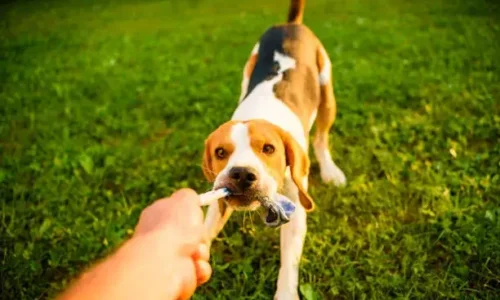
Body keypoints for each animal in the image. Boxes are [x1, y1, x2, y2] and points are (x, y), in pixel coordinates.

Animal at [201, 0, 346, 296]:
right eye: (220, 153)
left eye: (269, 149)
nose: (242, 174)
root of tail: (290, 24)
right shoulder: (218, 195)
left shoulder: (296, 204)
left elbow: (289, 263)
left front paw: (286, 294)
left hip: (327, 93)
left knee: (321, 139)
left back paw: (331, 171)